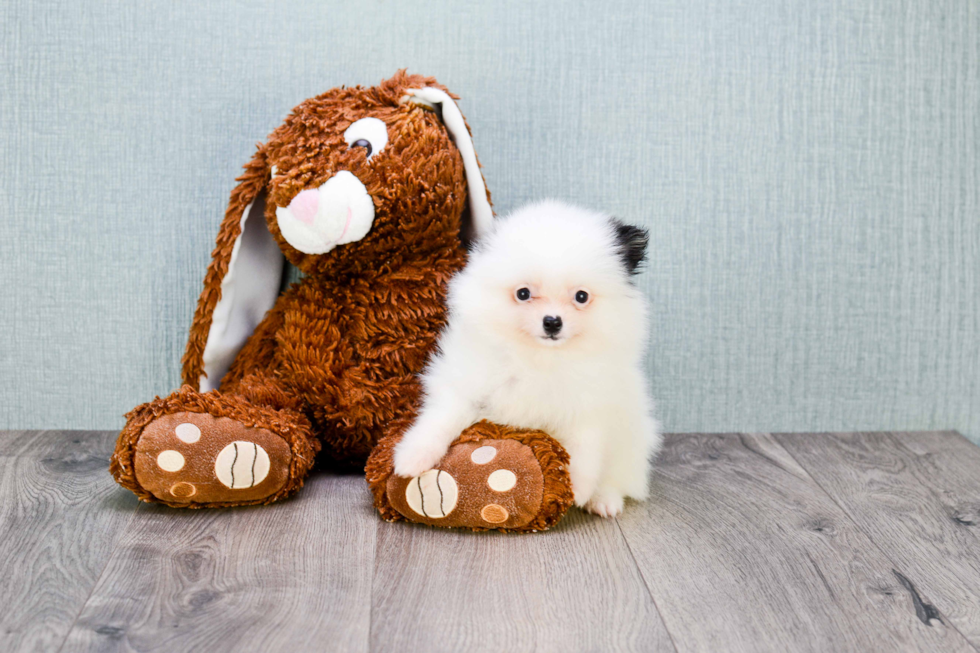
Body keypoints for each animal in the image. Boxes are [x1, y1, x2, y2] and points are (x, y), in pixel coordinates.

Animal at [394, 199, 664, 516]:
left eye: (581, 297)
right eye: (523, 293)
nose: (552, 322)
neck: (539, 358)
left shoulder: (589, 408)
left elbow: (585, 453)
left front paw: (577, 490)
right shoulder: (468, 384)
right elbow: (442, 418)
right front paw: (413, 457)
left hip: (631, 440)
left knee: (618, 475)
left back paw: (604, 500)